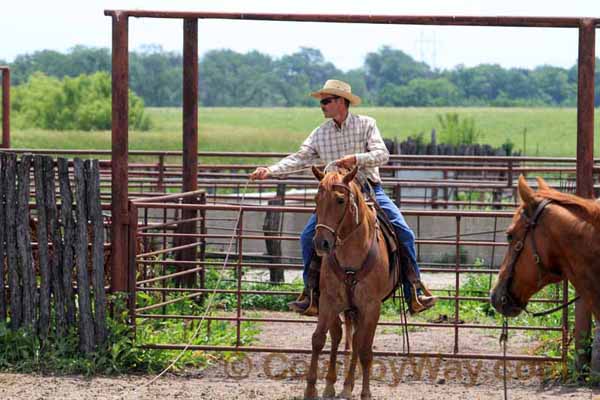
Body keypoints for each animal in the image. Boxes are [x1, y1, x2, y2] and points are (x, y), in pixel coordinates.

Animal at [304, 166, 398, 400]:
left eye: (340, 200)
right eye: (316, 199)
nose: (321, 243)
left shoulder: (371, 307)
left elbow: (365, 350)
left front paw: (366, 393)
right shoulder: (328, 300)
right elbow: (318, 339)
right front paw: (310, 389)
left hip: (359, 310)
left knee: (356, 342)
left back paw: (348, 386)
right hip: (344, 307)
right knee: (340, 336)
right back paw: (333, 385)